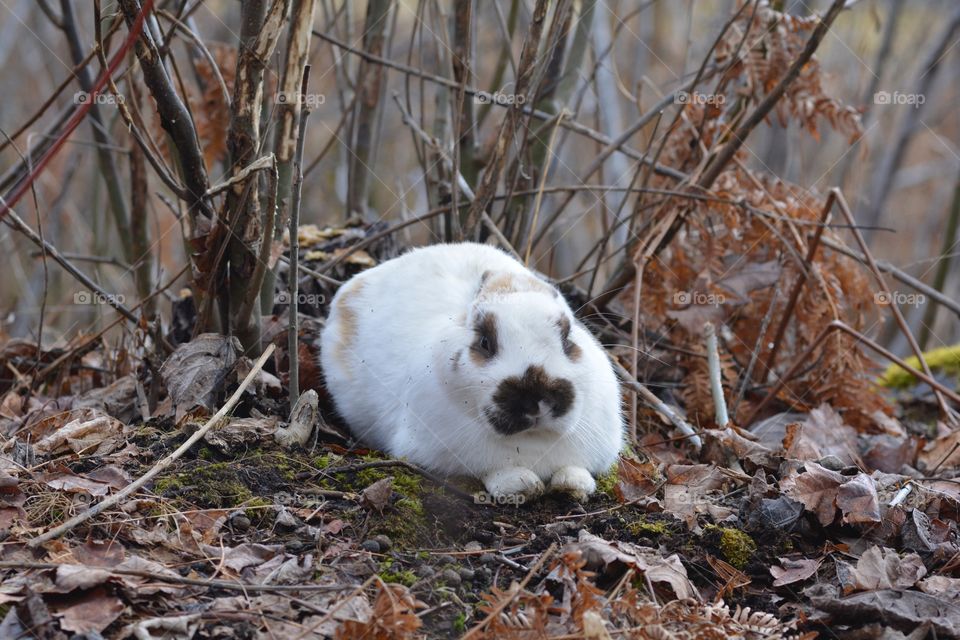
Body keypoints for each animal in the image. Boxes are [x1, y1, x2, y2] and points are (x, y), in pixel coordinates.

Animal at [320, 242, 624, 500]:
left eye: (567, 338)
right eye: (485, 342)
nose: (536, 400)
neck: (531, 440)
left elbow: (574, 469)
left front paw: (573, 485)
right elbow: (495, 471)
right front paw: (521, 485)